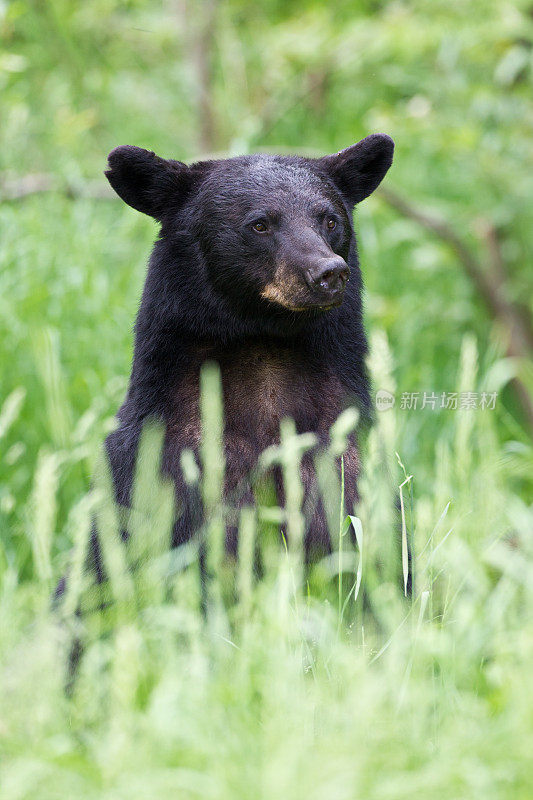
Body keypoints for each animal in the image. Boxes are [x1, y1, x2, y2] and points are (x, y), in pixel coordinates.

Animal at [104, 133, 392, 556]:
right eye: (259, 224)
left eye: (329, 219)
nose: (329, 273)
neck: (265, 344)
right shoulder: (171, 466)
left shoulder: (344, 458)